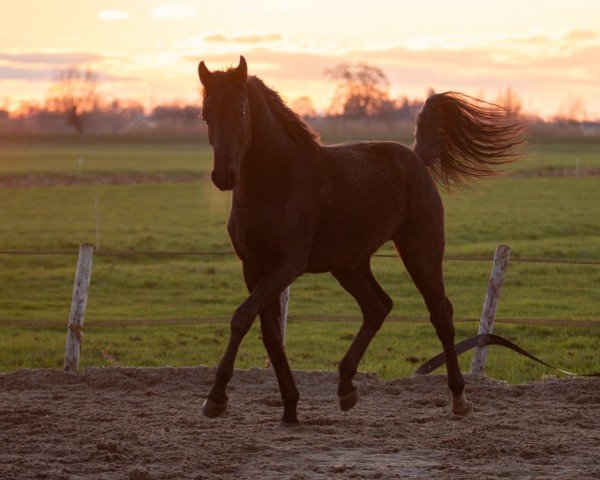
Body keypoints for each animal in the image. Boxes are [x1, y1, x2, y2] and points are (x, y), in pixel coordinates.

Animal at [196, 55, 520, 424]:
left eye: (240, 112)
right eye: (206, 114)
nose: (223, 177)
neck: (277, 182)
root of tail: (415, 157)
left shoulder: (286, 265)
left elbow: (241, 318)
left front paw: (216, 398)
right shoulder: (253, 267)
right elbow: (270, 335)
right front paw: (290, 407)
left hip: (420, 251)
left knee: (440, 314)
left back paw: (458, 398)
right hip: (349, 264)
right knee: (378, 306)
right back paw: (346, 386)